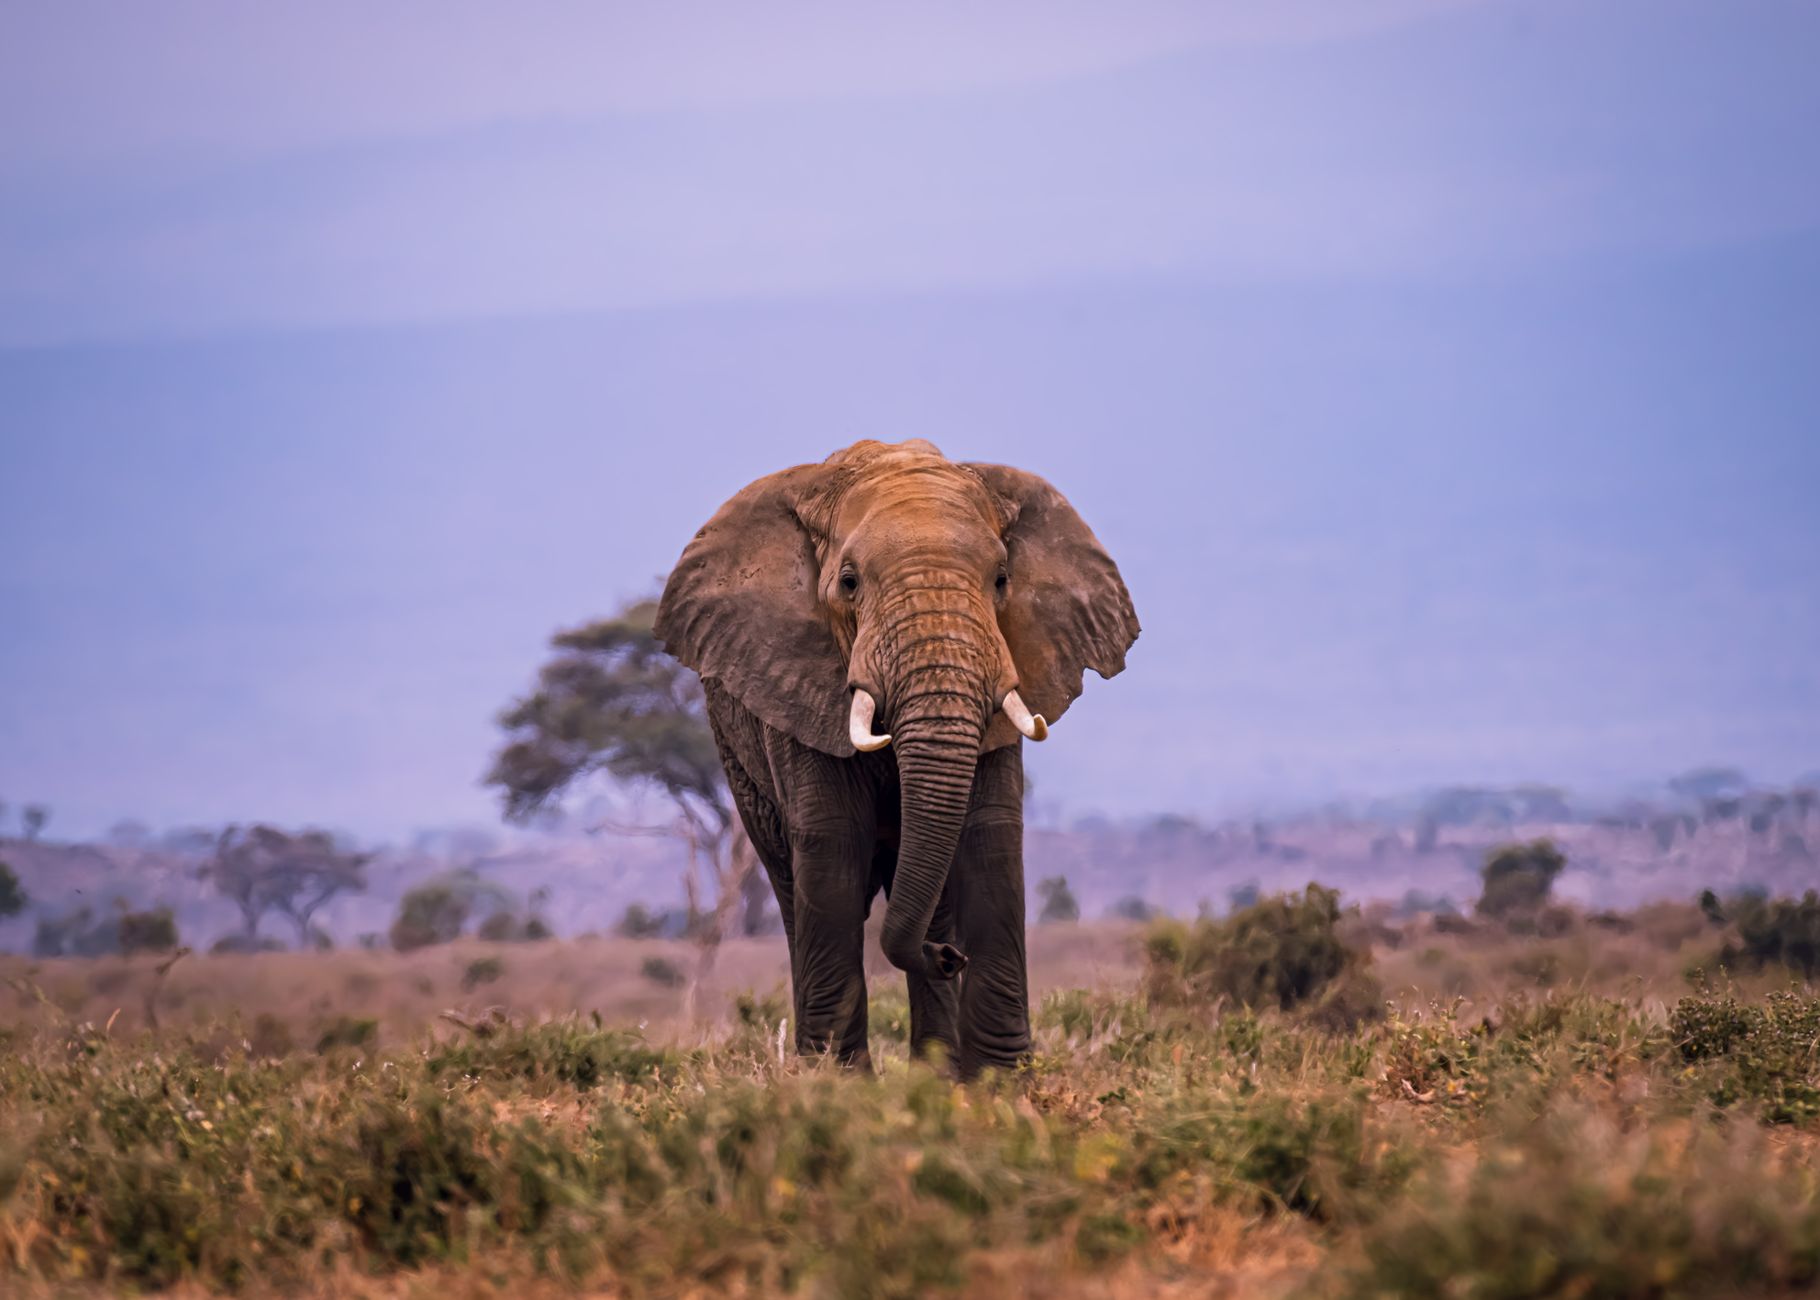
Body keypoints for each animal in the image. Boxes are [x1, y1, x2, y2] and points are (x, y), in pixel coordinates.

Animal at [655, 439, 1138, 1076]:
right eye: (849, 582)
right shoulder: (794, 680)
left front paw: (1001, 1082)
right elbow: (831, 844)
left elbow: (989, 837)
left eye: (1002, 579)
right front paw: (837, 1083)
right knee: (792, 890)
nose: (950, 957)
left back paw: (936, 1071)